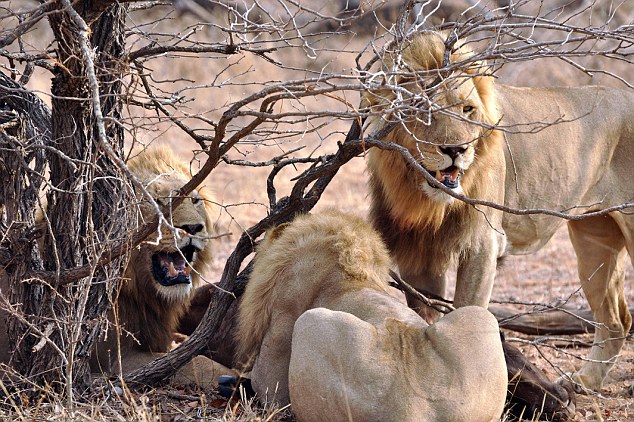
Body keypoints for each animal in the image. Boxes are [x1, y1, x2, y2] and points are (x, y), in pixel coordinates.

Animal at [362, 30, 632, 392]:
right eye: (424, 110)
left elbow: (468, 310)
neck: (424, 198)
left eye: (467, 109)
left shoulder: (482, 244)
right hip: (594, 237)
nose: (456, 150)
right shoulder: (421, 251)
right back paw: (585, 381)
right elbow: (424, 315)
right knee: (616, 319)